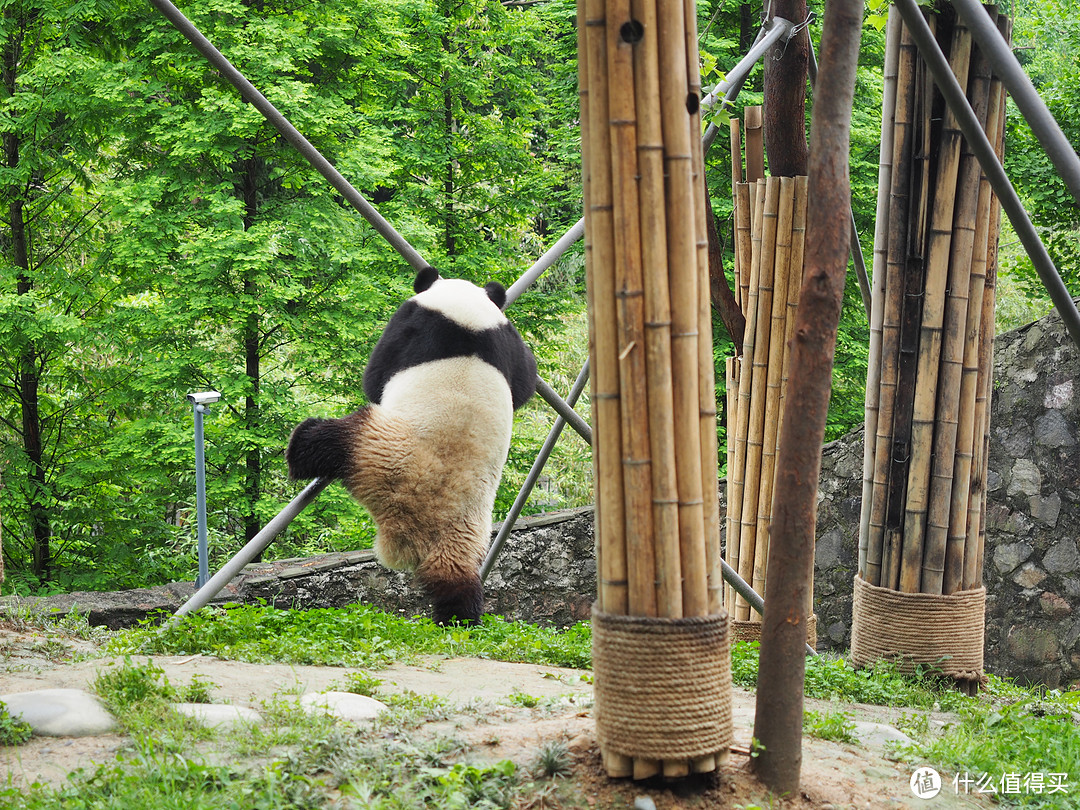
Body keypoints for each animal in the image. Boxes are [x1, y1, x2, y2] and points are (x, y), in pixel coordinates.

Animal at [287, 266, 535, 626]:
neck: (467, 313)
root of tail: (409, 530)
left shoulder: (415, 323)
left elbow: (376, 373)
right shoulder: (506, 341)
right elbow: (525, 381)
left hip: (380, 449)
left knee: (331, 440)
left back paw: (299, 448)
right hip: (466, 531)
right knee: (457, 580)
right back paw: (460, 621)